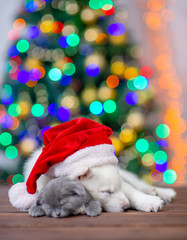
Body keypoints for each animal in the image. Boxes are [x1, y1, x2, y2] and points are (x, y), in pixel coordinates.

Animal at [23, 147, 177, 213]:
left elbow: (131, 191)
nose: (126, 206)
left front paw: (148, 201)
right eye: (106, 192)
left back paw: (162, 192)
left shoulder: (122, 183)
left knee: (138, 184)